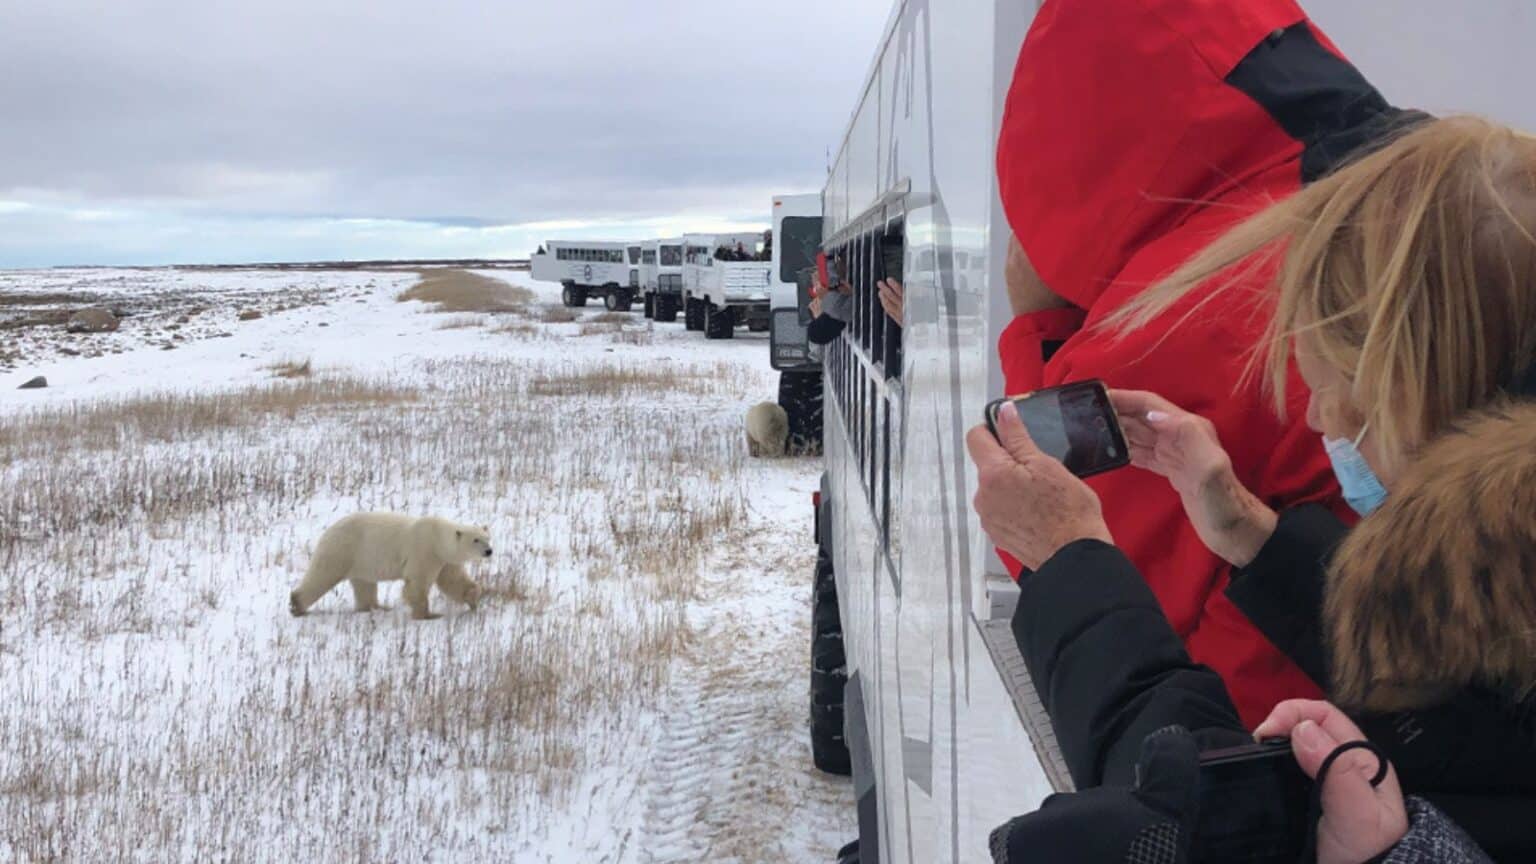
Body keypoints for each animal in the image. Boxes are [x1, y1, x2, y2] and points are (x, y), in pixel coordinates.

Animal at [288, 510, 491, 618]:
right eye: (475, 540)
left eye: (487, 537)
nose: (489, 551)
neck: (437, 537)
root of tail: (328, 531)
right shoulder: (424, 551)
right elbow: (417, 583)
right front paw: (427, 615)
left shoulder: (444, 560)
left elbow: (453, 581)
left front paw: (473, 599)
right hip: (342, 550)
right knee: (322, 576)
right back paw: (297, 605)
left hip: (361, 560)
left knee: (364, 585)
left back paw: (377, 608)